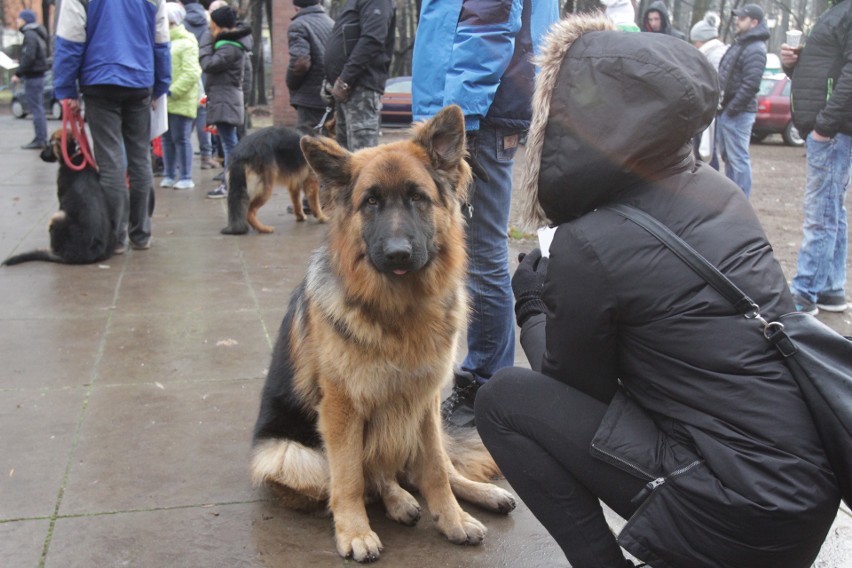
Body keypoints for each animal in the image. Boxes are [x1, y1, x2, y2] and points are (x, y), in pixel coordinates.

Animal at [1, 129, 113, 266]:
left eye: (50, 144)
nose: (40, 155)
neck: (74, 156)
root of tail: (87, 253)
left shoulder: (60, 199)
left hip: (58, 216)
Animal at [250, 104, 516, 560]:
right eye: (370, 201)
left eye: (417, 198)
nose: (397, 254)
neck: (400, 311)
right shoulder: (342, 408)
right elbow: (349, 478)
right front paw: (355, 531)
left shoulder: (425, 398)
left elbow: (435, 471)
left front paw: (453, 518)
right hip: (287, 453)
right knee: (371, 474)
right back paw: (398, 501)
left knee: (430, 467)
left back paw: (475, 494)